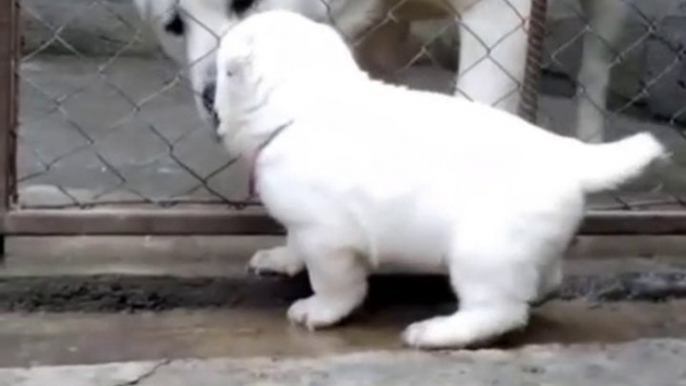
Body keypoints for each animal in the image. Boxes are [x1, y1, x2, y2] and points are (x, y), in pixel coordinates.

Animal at [214, 11, 668, 350]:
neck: (306, 103)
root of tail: (571, 159)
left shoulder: (330, 238)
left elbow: (334, 283)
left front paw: (318, 311)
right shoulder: (305, 224)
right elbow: (295, 243)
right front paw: (280, 258)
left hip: (483, 253)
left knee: (499, 310)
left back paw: (438, 333)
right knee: (543, 280)